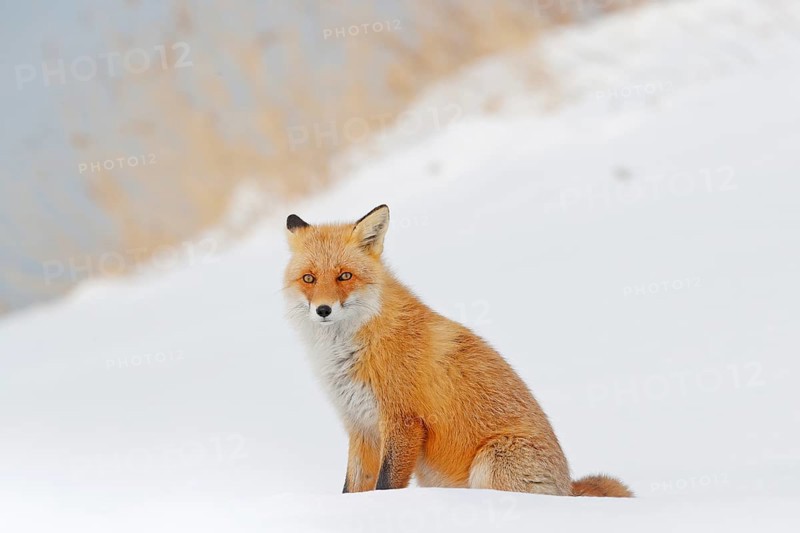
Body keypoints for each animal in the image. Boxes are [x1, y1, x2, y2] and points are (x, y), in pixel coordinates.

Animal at [283, 204, 632, 498]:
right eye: (309, 278)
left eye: (345, 275)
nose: (323, 310)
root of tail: (567, 490)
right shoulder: (361, 426)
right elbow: (352, 489)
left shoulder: (402, 421)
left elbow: (386, 486)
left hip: (490, 461)